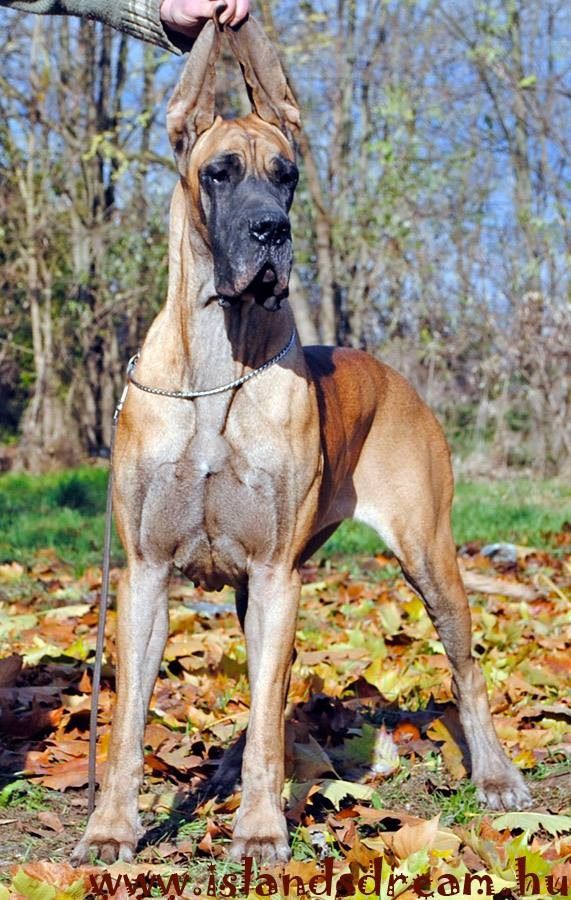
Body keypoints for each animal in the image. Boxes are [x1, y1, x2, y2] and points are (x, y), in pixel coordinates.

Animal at [72, 15, 530, 866]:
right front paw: (111, 828)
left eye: (286, 176)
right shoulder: (146, 573)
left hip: (429, 554)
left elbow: (266, 721)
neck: (218, 364)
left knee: (466, 671)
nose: (272, 230)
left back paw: (494, 777)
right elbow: (126, 725)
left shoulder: (277, 574)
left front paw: (258, 829)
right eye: (219, 173)